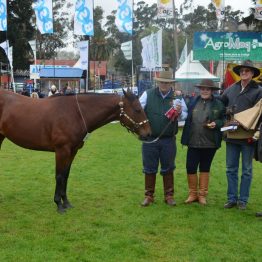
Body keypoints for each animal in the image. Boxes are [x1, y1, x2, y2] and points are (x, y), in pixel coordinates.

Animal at [0, 88, 151, 213]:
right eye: (138, 109)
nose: (148, 133)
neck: (75, 113)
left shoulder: (72, 151)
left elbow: (66, 175)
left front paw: (66, 202)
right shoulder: (62, 150)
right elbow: (59, 176)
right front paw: (59, 205)